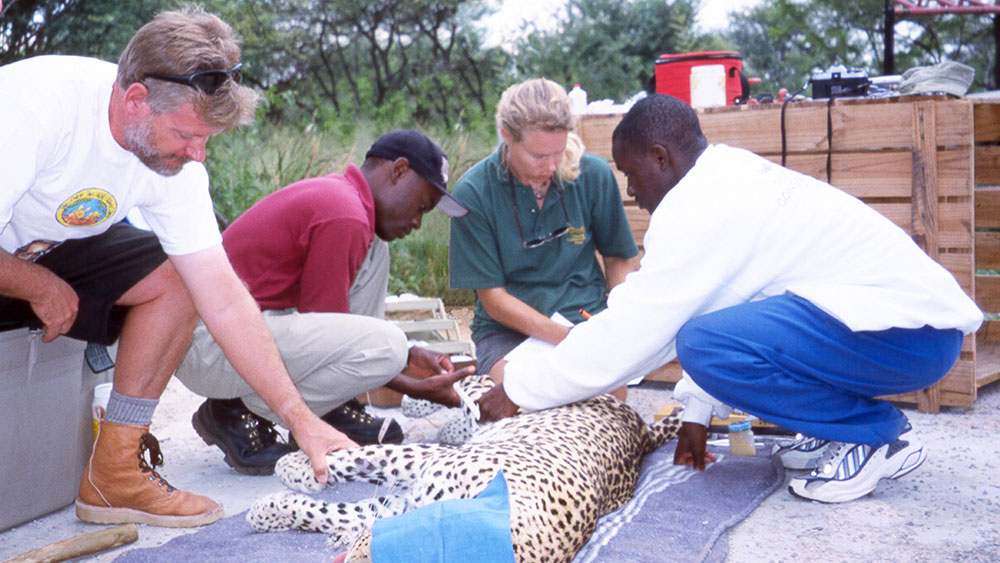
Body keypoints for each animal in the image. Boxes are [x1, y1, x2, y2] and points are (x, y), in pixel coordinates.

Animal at [249, 374, 684, 563]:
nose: (345, 560)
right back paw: (419, 393)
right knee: (474, 382)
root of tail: (642, 428)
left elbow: (337, 511)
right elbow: (363, 459)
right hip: (518, 400)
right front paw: (297, 468)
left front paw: (272, 505)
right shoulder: (422, 465)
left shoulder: (402, 500)